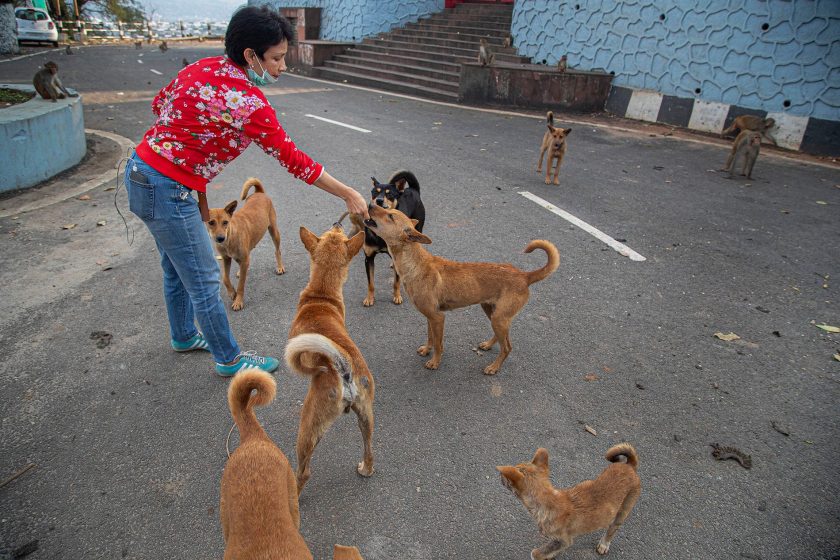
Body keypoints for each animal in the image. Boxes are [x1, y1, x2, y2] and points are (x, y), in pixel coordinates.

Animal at [206, 178, 286, 310]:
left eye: (225, 222)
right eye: (211, 222)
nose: (220, 238)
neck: (230, 237)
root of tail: (259, 193)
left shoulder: (242, 260)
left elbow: (241, 285)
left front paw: (238, 301)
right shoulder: (225, 258)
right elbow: (225, 278)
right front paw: (231, 293)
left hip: (274, 230)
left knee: (277, 250)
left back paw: (280, 267)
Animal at [286, 223, 374, 494]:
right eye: (333, 234)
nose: (337, 223)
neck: (321, 296)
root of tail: (343, 368)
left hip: (308, 428)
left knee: (304, 472)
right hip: (366, 416)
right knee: (369, 451)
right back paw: (366, 469)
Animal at [340, 171, 424, 306]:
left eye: (390, 194)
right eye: (375, 192)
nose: (378, 201)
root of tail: (413, 189)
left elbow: (396, 282)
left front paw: (397, 296)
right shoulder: (368, 259)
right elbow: (371, 284)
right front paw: (369, 298)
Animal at [362, 203, 556, 374]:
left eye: (390, 216)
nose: (370, 204)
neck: (416, 263)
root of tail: (524, 275)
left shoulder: (438, 318)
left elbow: (439, 345)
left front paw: (435, 362)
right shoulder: (430, 317)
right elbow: (430, 337)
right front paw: (426, 350)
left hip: (499, 318)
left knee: (507, 347)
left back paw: (494, 367)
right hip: (492, 312)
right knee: (502, 339)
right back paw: (488, 345)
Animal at [498, 444, 644, 556]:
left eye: (507, 479)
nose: (500, 476)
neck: (548, 501)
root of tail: (630, 466)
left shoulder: (564, 540)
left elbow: (537, 554)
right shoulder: (558, 542)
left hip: (623, 511)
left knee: (612, 528)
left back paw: (604, 543)